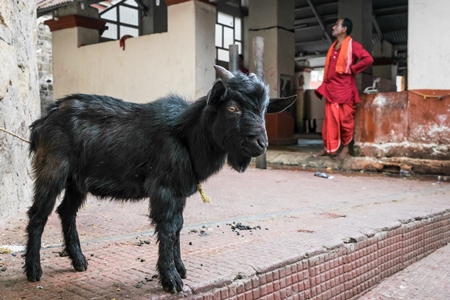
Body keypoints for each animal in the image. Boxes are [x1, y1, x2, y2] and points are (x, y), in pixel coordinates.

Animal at [24, 65, 296, 292]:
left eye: (264, 110)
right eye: (232, 108)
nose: (260, 144)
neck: (187, 135)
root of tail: (43, 120)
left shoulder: (179, 191)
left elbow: (178, 226)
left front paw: (180, 268)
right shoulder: (164, 189)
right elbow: (167, 227)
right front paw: (171, 279)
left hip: (77, 180)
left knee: (66, 211)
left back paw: (79, 261)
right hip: (53, 169)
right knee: (38, 214)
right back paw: (33, 270)